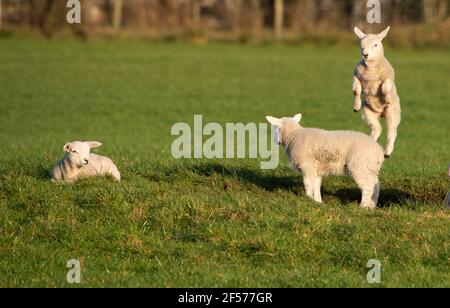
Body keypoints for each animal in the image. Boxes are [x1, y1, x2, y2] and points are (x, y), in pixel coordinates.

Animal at [352, 25, 400, 159]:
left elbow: (385, 87)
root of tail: (381, 113)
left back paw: (387, 152)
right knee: (377, 129)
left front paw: (386, 98)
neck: (371, 70)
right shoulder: (357, 76)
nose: (365, 55)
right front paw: (356, 106)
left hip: (393, 112)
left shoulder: (388, 78)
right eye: (361, 45)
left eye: (375, 44)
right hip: (368, 113)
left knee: (391, 131)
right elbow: (356, 90)